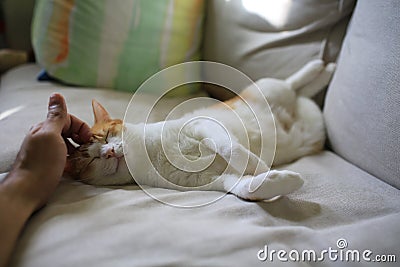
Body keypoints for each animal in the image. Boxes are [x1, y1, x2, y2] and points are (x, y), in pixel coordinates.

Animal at [65, 58, 334, 201]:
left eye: (107, 136)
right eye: (91, 161)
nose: (108, 152)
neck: (152, 156)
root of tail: (295, 111)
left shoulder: (201, 125)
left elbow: (230, 148)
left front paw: (255, 162)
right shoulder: (214, 181)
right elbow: (245, 188)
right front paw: (281, 180)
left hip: (268, 90)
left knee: (292, 83)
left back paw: (321, 68)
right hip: (307, 123)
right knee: (303, 93)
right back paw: (324, 74)